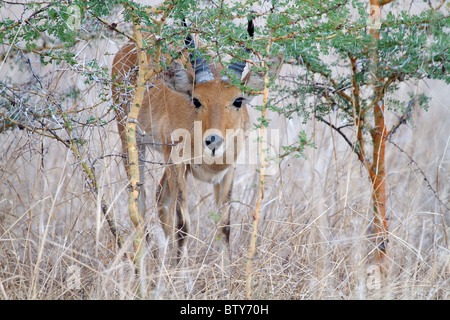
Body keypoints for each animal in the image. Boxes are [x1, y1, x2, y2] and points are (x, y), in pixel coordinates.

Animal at [111, 20, 284, 268]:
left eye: (238, 100)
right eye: (196, 100)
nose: (213, 141)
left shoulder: (228, 171)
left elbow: (224, 225)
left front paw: (226, 275)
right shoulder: (178, 163)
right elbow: (183, 224)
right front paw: (179, 275)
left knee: (160, 200)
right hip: (132, 142)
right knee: (140, 203)